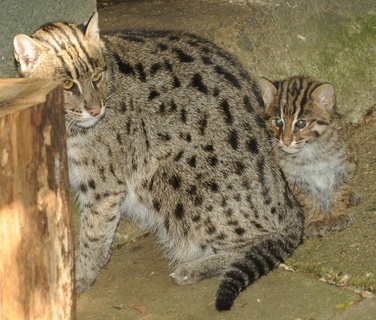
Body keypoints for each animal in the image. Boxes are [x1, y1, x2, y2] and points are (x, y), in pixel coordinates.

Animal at [13, 12, 304, 310]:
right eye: (67, 84)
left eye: (96, 75)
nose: (95, 109)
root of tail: (288, 197)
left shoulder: (103, 185)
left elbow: (94, 231)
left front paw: (80, 275)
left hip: (171, 176)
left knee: (261, 237)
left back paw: (198, 266)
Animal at [258, 76, 358, 238]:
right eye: (278, 121)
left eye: (300, 123)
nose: (286, 141)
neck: (309, 150)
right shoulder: (296, 178)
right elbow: (308, 199)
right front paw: (315, 219)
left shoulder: (344, 166)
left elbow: (339, 191)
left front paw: (338, 213)